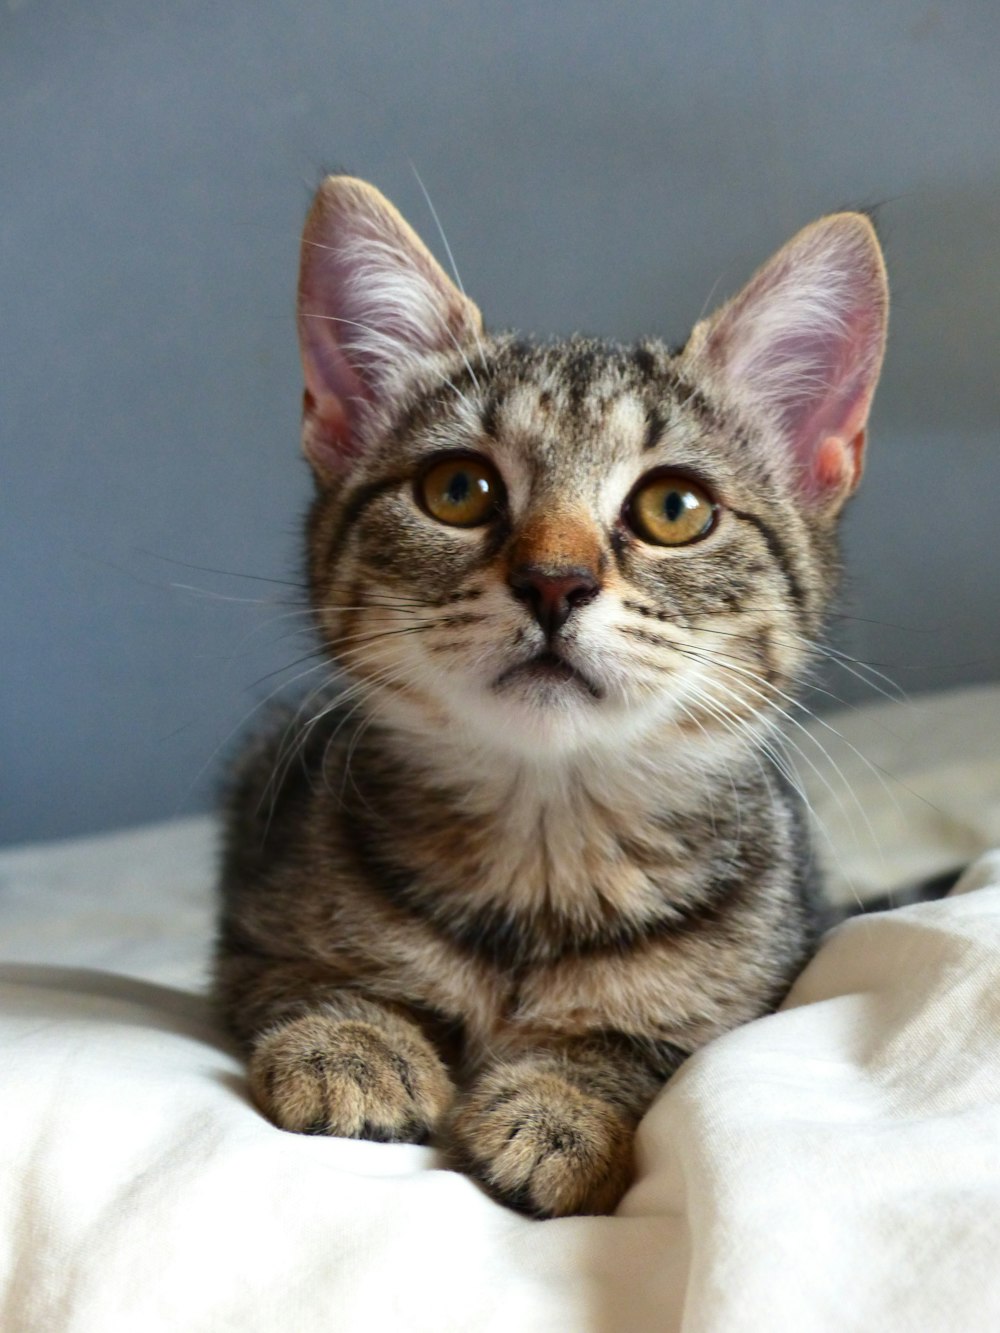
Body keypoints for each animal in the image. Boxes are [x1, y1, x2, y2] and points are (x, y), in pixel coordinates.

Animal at [216, 177, 890, 1221]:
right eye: (458, 488)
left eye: (674, 508)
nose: (554, 581)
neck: (543, 849)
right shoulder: (255, 907)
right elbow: (304, 974)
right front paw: (354, 1039)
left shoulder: (756, 985)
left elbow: (645, 1047)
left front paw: (563, 1102)